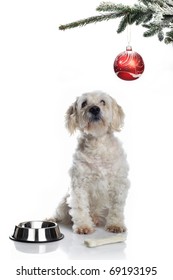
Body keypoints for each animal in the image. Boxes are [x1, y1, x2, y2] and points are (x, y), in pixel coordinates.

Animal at [53, 91, 129, 234]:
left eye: (103, 102)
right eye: (84, 103)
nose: (94, 109)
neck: (97, 144)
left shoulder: (118, 183)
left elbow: (117, 207)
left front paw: (115, 225)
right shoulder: (79, 183)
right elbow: (80, 206)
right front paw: (83, 226)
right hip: (64, 203)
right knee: (60, 214)